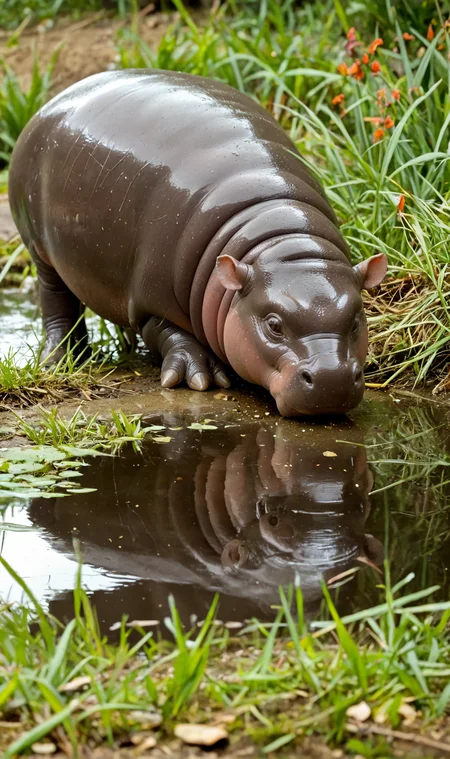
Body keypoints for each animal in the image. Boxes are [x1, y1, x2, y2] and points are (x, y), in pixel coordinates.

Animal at [8, 70, 387, 416]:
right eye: (274, 325)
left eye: (357, 319)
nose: (331, 378)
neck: (281, 238)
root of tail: (53, 101)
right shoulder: (150, 301)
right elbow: (170, 332)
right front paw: (200, 376)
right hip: (39, 248)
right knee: (56, 301)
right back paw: (61, 358)